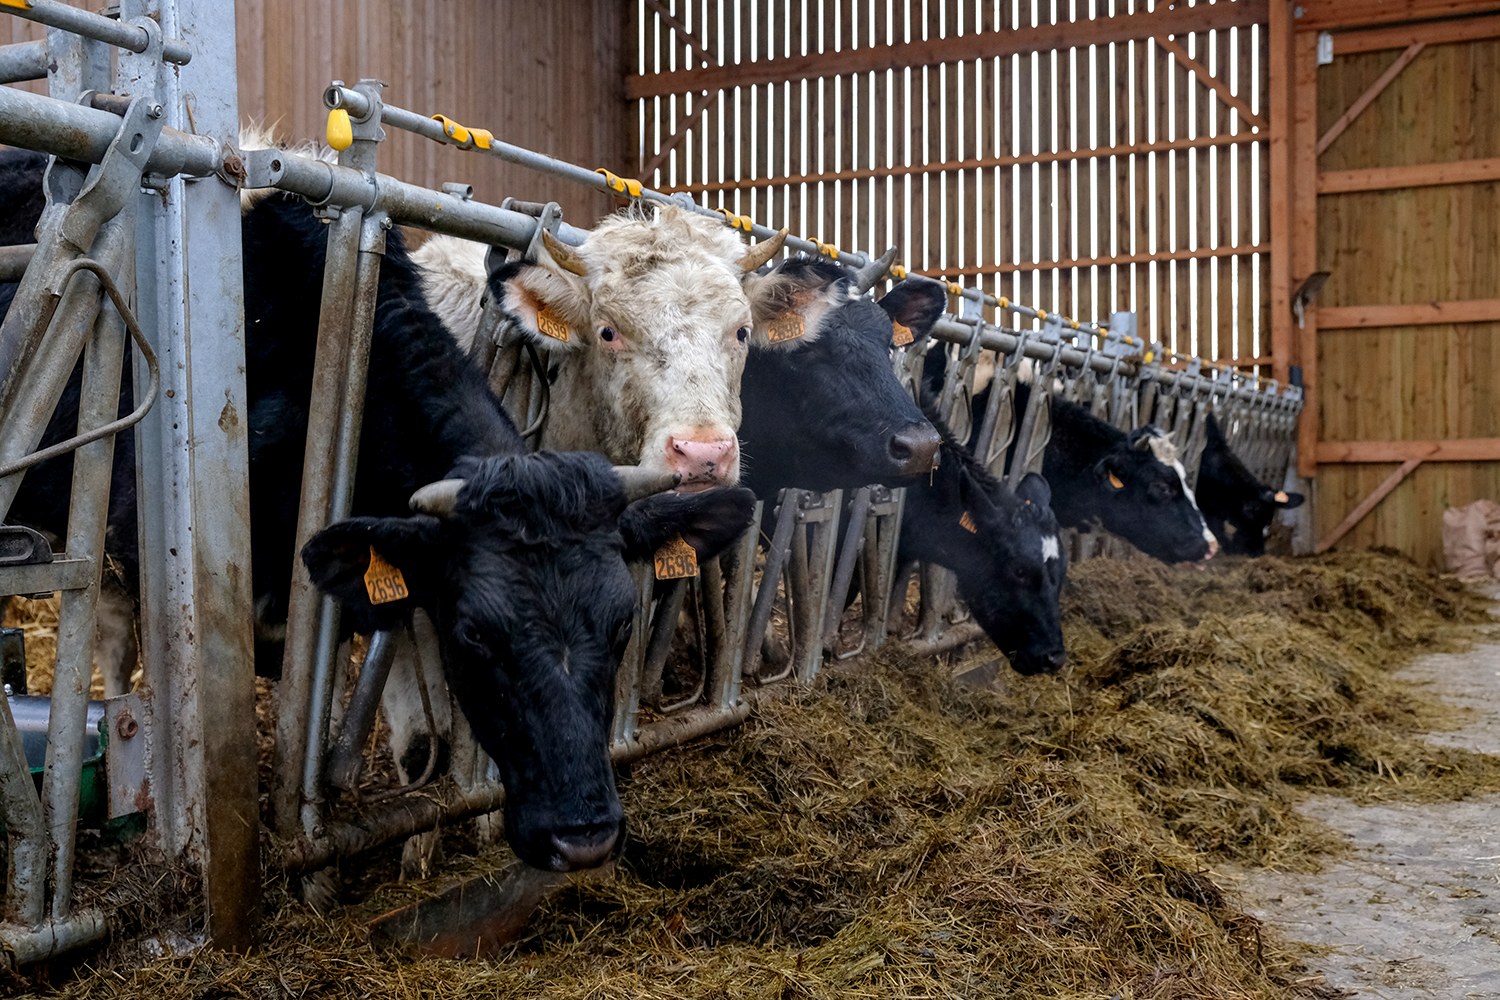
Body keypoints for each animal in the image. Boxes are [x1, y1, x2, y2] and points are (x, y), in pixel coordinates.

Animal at [1194, 413, 1302, 560]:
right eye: (1252, 518)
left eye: (1268, 523)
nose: (1259, 552)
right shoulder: (1207, 506)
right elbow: (1216, 529)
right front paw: (1229, 548)